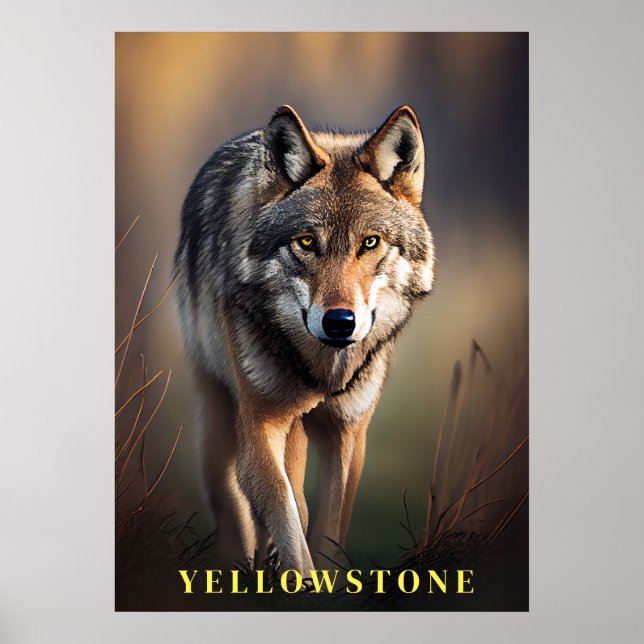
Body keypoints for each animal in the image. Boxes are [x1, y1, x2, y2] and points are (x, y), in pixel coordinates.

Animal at [174, 104, 435, 575]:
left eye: (370, 242)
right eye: (307, 242)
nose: (340, 322)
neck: (322, 372)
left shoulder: (349, 431)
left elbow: (328, 526)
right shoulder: (261, 426)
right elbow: (288, 517)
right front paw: (296, 572)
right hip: (221, 417)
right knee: (239, 499)